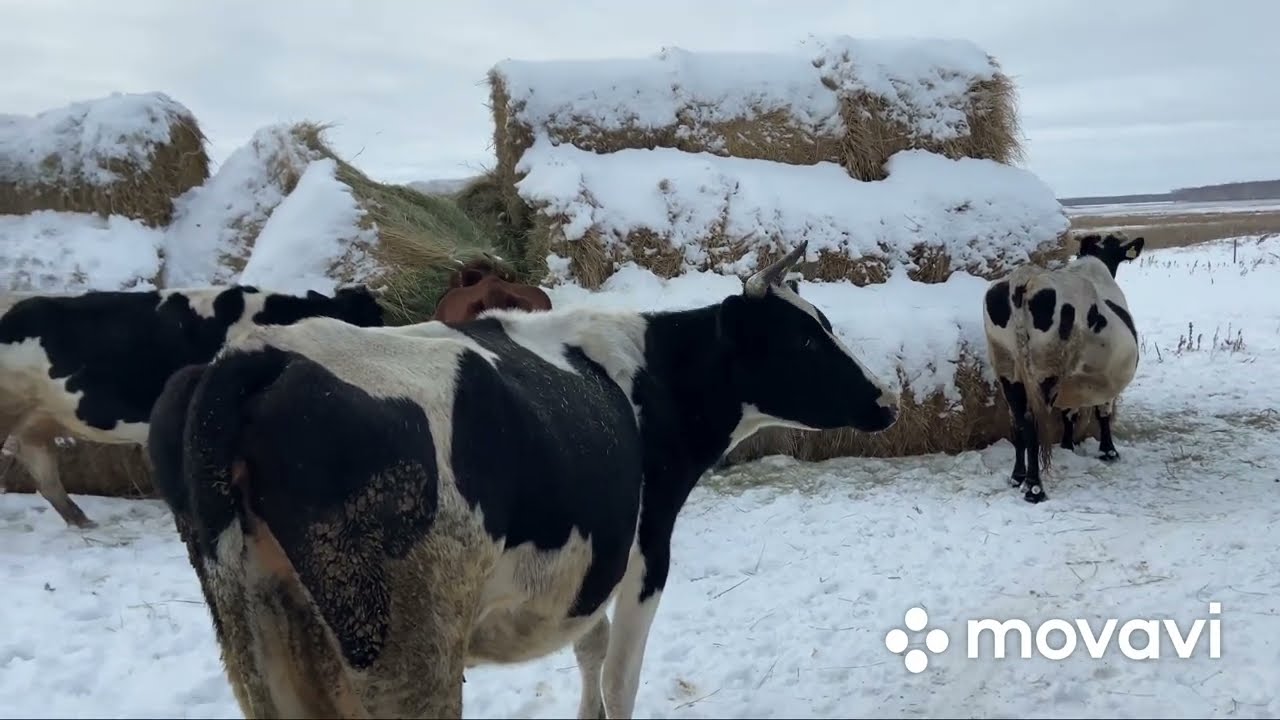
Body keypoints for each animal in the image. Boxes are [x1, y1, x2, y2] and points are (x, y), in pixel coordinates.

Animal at [148, 240, 900, 719]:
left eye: (824, 323)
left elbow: (589, 648)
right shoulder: (645, 552)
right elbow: (619, 675)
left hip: (257, 638)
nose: (889, 400)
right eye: (803, 339)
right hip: (403, 642)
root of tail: (257, 358)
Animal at [982, 232, 1144, 503]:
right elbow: (1103, 412)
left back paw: (1017, 477)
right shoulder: (1104, 380)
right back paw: (1035, 489)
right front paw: (1108, 451)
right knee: (1033, 424)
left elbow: (1069, 413)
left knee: (1018, 422)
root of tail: (1024, 278)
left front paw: (1069, 445)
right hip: (1045, 370)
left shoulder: (1074, 382)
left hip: (1007, 367)